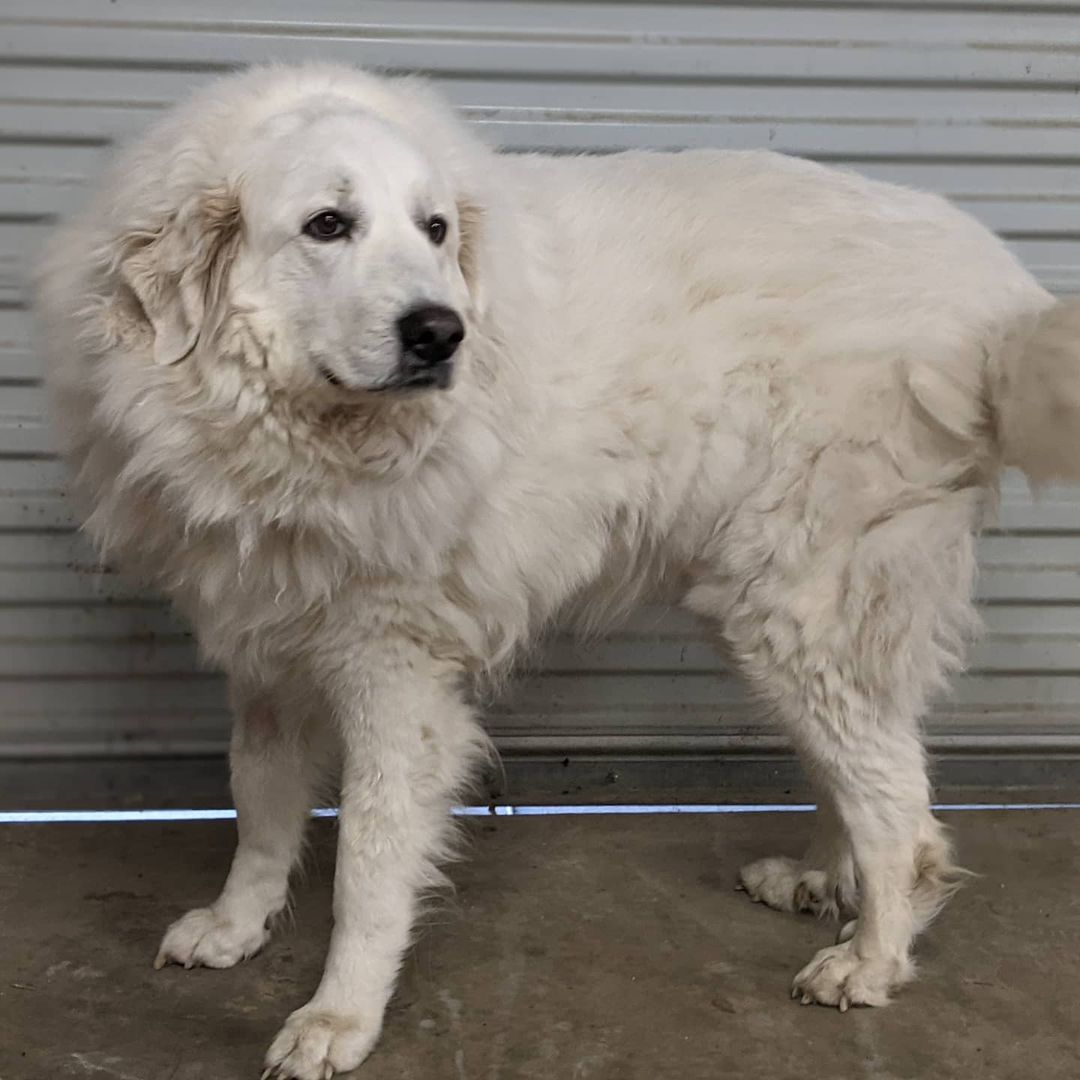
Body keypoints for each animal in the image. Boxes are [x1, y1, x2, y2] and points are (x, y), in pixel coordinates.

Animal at [38, 65, 1080, 1080]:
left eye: (435, 228)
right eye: (327, 224)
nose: (441, 332)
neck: (301, 435)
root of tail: (994, 293)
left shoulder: (396, 673)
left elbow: (368, 864)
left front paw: (341, 1016)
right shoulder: (267, 641)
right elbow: (258, 801)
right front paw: (236, 925)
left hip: (797, 604)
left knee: (900, 808)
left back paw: (871, 958)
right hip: (783, 613)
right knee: (858, 765)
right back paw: (824, 880)